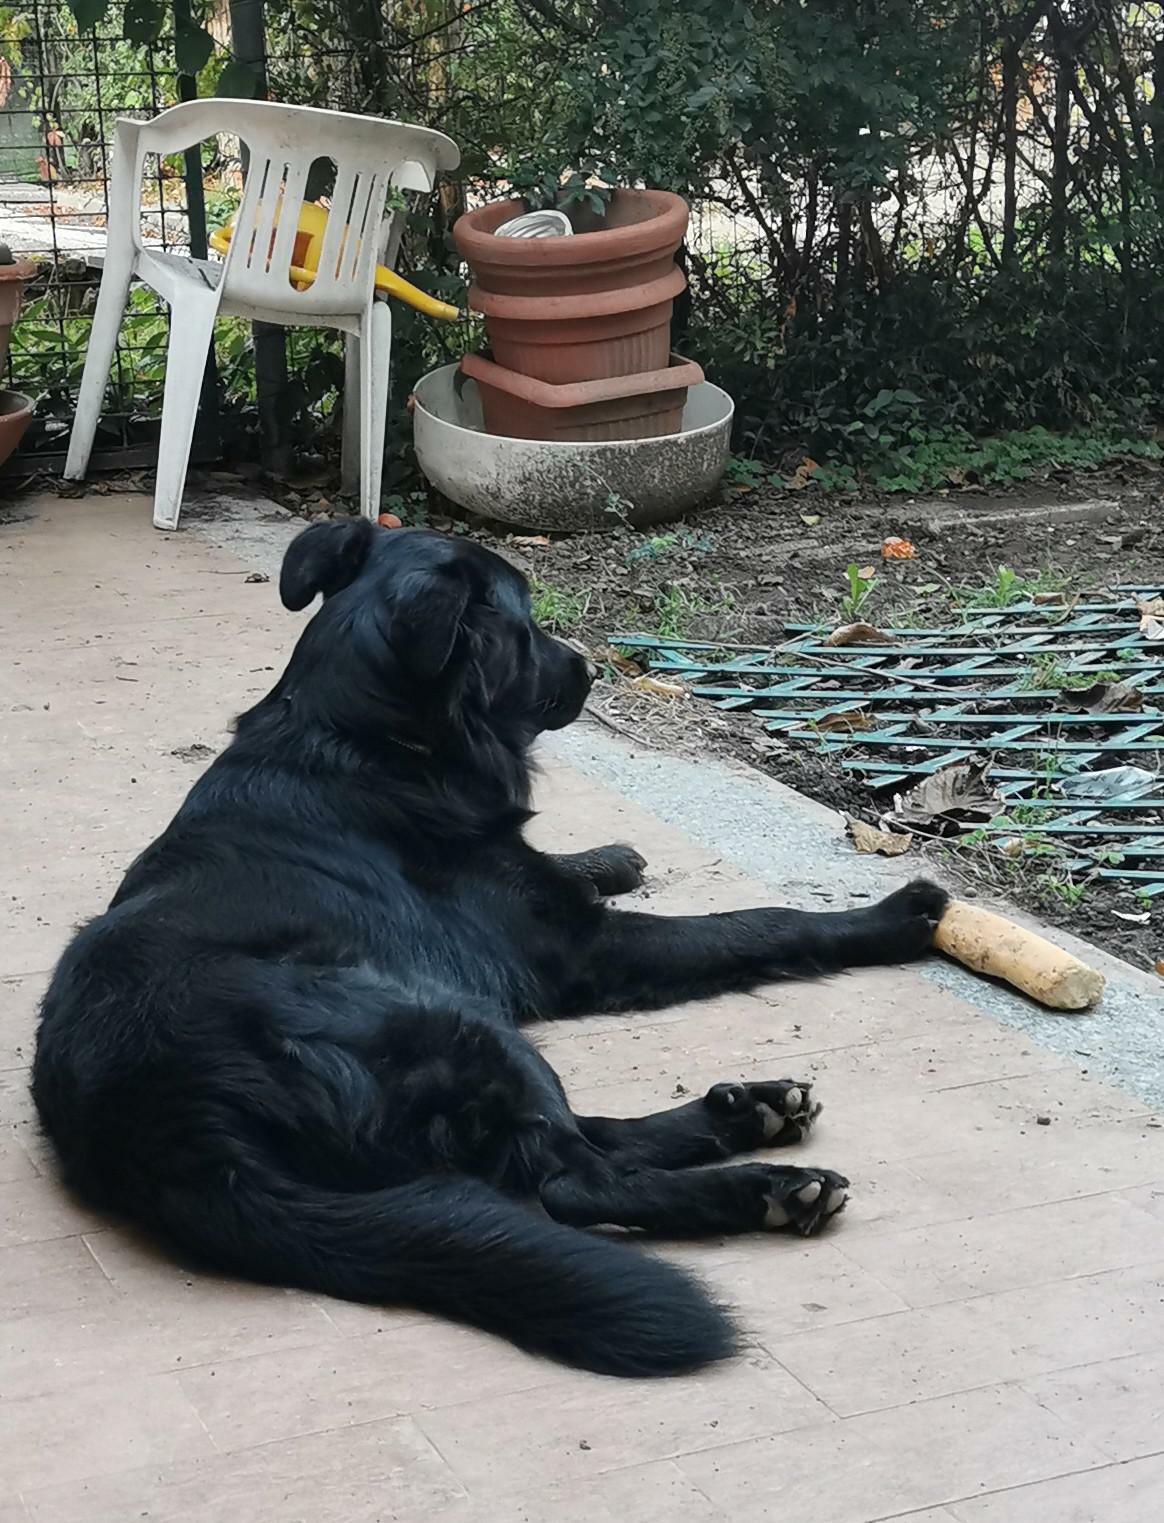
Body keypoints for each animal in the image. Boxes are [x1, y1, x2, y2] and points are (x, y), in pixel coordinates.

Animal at [31, 517, 950, 1376]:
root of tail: (174, 1131)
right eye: (526, 622)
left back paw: (745, 1110)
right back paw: (766, 1187)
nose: (589, 670)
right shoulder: (586, 949)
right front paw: (892, 915)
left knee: (565, 1141)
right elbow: (760, 919)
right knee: (572, 1178)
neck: (360, 733)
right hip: (450, 1018)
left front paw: (608, 856)